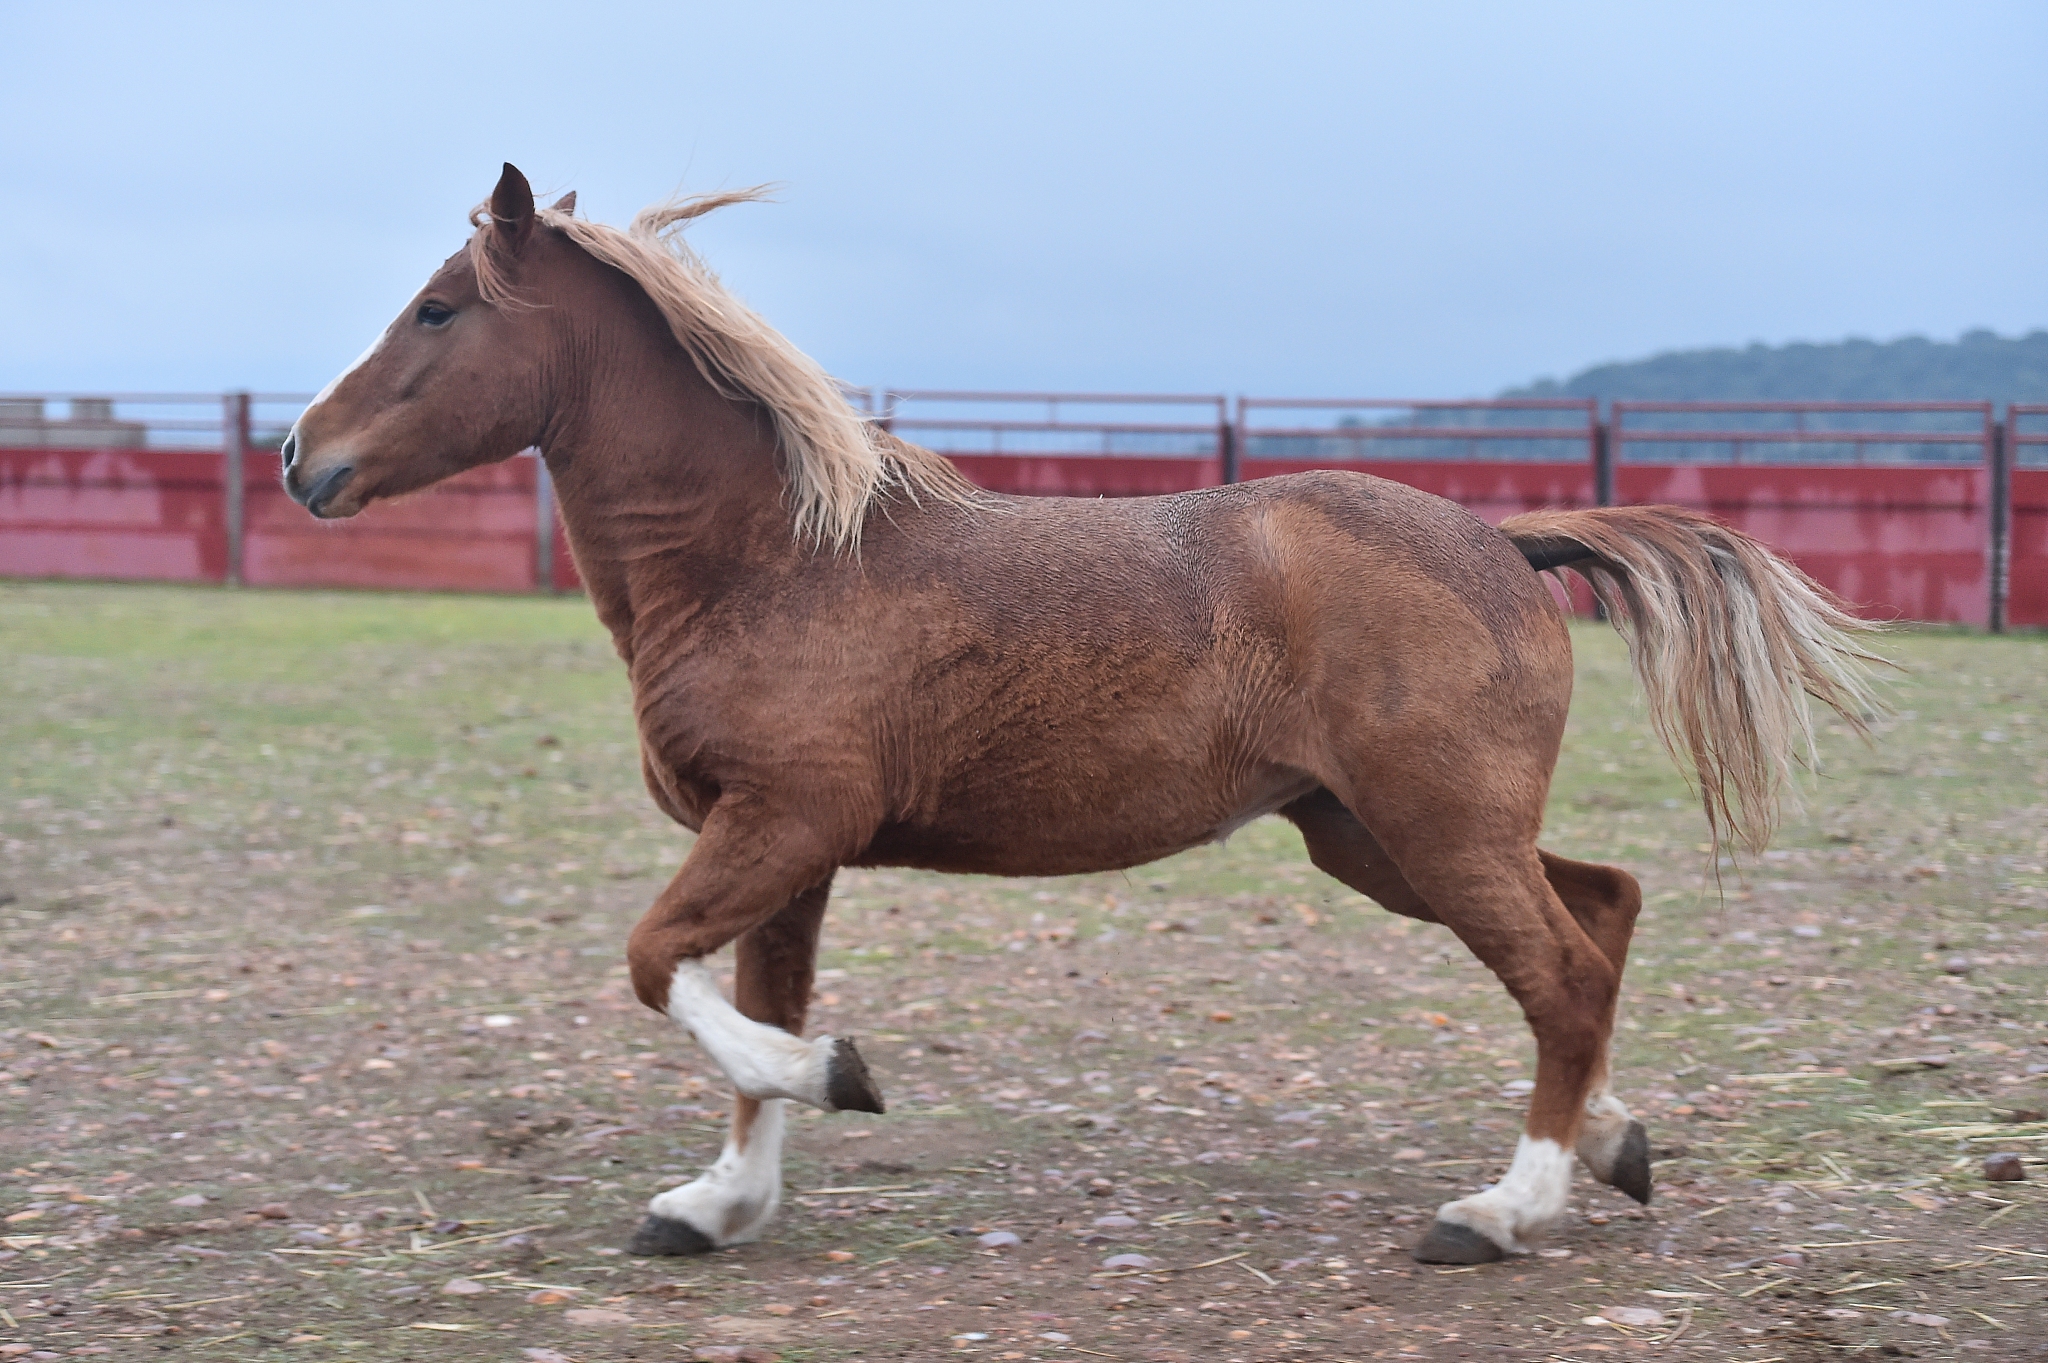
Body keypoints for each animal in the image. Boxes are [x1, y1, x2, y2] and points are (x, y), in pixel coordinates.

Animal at [281, 163, 1881, 1265]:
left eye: (437, 307)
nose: (303, 456)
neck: (771, 561)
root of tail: (1505, 537)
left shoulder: (785, 818)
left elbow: (663, 969)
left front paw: (839, 1077)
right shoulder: (789, 849)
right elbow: (744, 1002)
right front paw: (719, 1201)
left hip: (1433, 828)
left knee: (1558, 970)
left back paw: (1499, 1208)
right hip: (1374, 836)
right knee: (1601, 914)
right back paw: (1612, 1143)